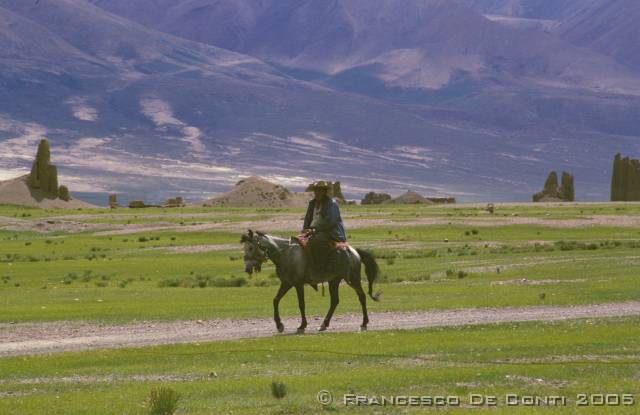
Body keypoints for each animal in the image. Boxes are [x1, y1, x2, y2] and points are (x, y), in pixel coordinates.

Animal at [240, 229, 380, 334]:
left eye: (251, 247)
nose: (247, 268)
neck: (285, 254)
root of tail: (354, 252)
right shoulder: (287, 283)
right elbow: (275, 300)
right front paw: (279, 325)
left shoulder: (298, 284)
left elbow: (301, 304)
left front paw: (302, 326)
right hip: (334, 281)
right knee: (335, 301)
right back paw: (324, 324)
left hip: (352, 279)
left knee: (361, 296)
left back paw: (364, 323)